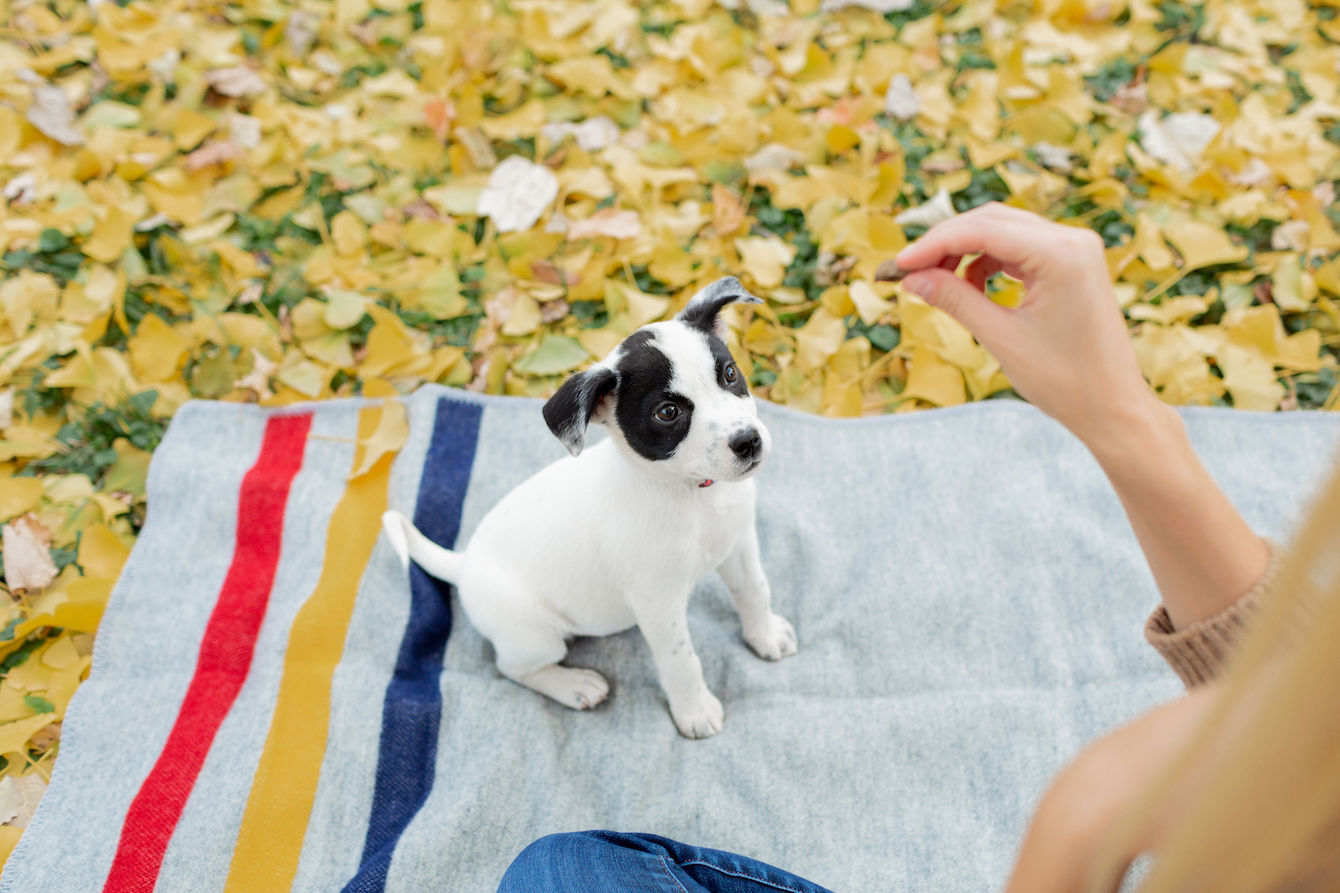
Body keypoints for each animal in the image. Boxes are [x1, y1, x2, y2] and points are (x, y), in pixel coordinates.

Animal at [377, 274, 793, 734]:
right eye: (668, 413)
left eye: (730, 374)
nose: (747, 441)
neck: (692, 493)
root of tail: (464, 564)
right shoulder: (658, 603)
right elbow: (681, 660)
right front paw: (696, 711)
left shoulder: (739, 543)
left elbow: (754, 590)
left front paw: (765, 635)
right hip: (534, 636)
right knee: (512, 668)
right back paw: (573, 685)